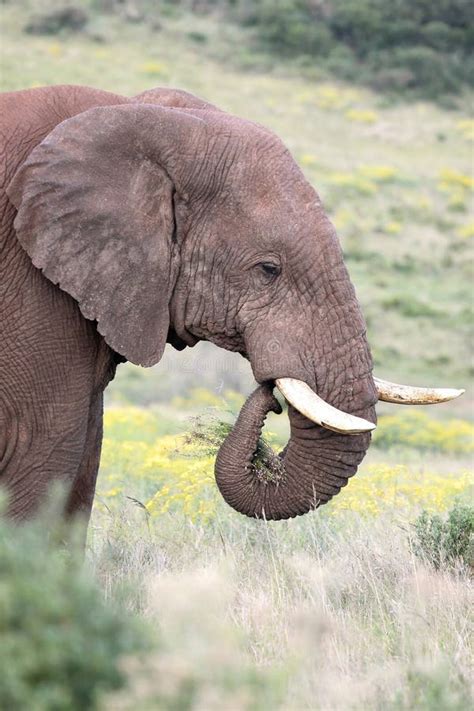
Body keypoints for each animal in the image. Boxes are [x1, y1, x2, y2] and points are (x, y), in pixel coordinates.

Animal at [0, 85, 462, 528]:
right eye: (269, 269)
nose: (271, 397)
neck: (134, 114)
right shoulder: (32, 286)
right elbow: (41, 450)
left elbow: (83, 466)